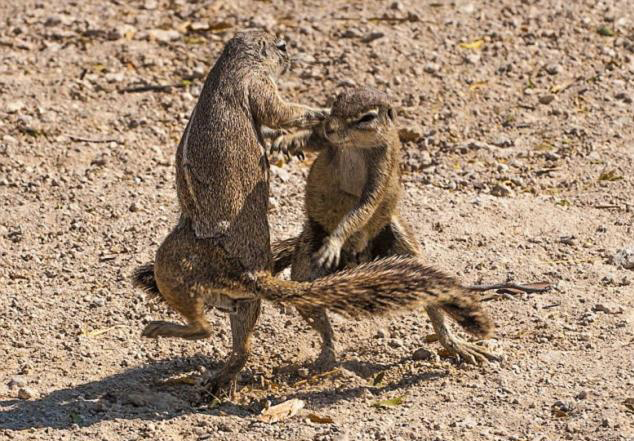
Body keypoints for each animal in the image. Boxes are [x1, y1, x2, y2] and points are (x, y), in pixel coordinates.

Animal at [270, 86, 496, 364]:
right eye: (336, 101)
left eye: (366, 118)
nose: (331, 127)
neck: (354, 145)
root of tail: (359, 260)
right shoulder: (328, 141)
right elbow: (314, 138)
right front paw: (288, 140)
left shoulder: (381, 170)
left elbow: (363, 208)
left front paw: (335, 241)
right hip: (309, 247)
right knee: (312, 301)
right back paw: (328, 354)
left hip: (399, 244)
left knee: (432, 298)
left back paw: (453, 343)